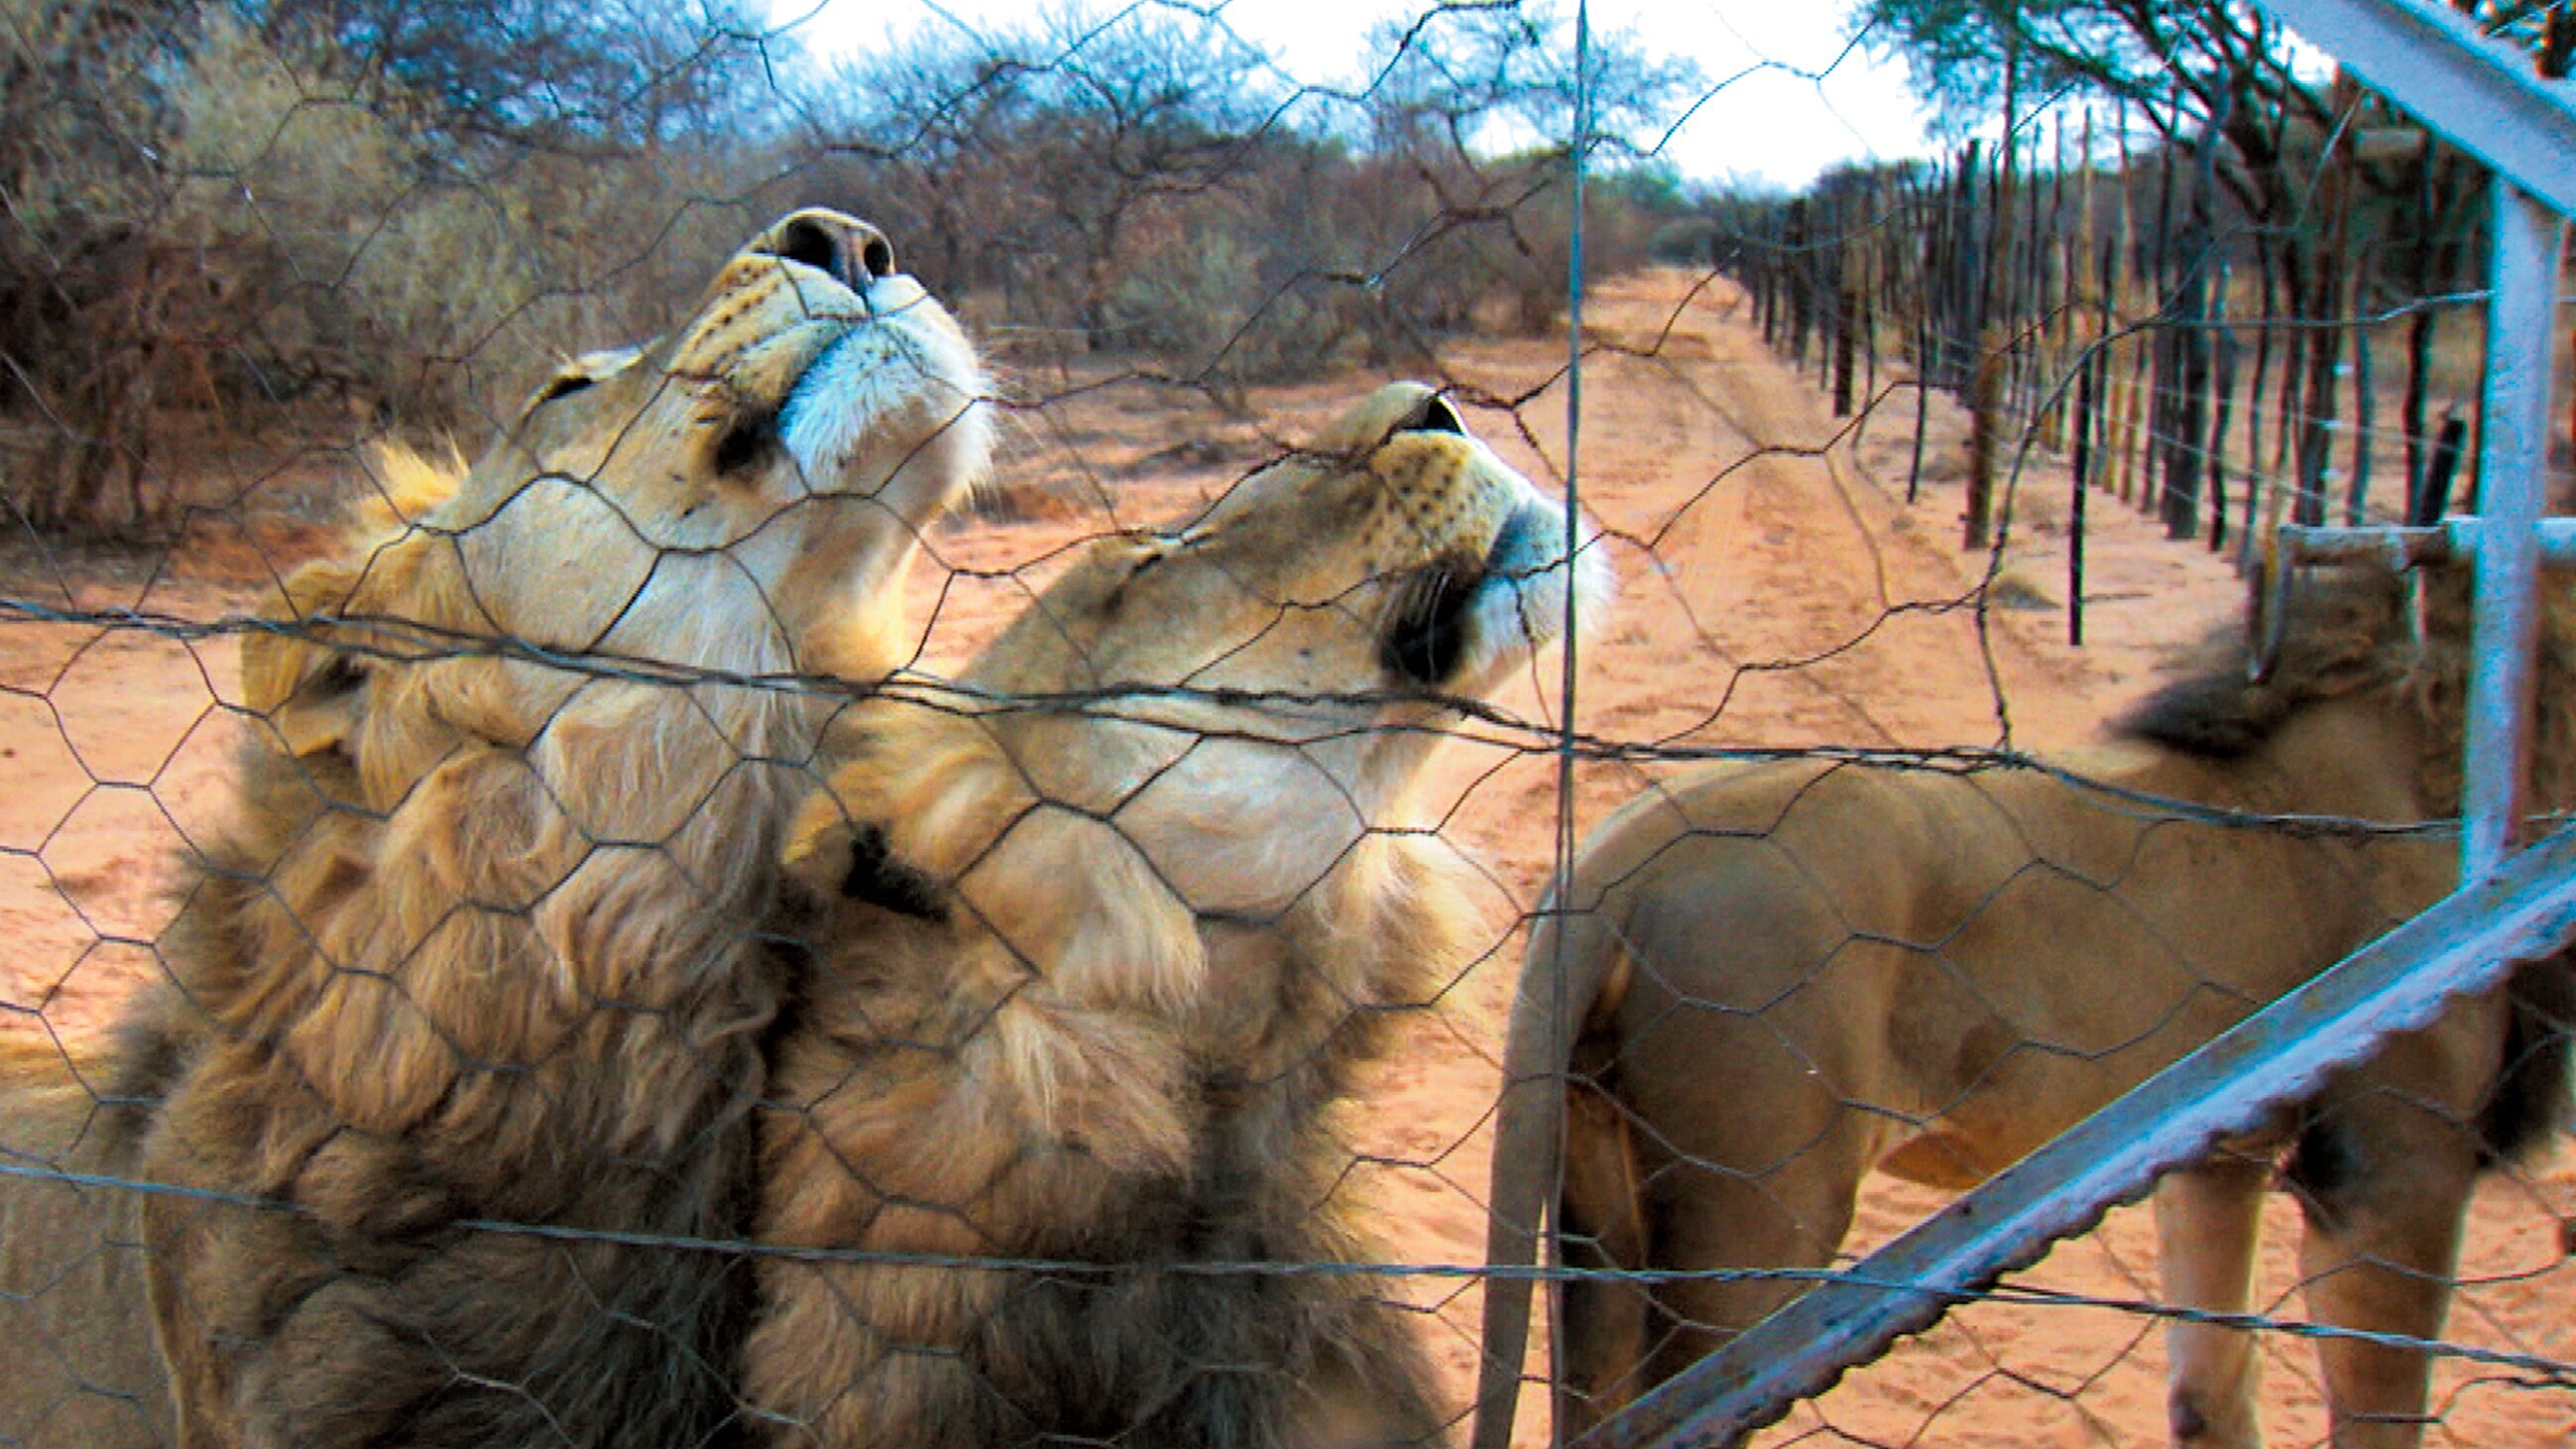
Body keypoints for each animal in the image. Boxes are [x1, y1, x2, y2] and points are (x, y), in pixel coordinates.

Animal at [1473, 553, 2576, 1443]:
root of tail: (1618, 859)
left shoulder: (2219, 1159)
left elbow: (2213, 1391)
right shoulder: (2394, 1165)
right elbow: (2382, 1408)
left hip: (1599, 1207)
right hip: (1753, 1218)